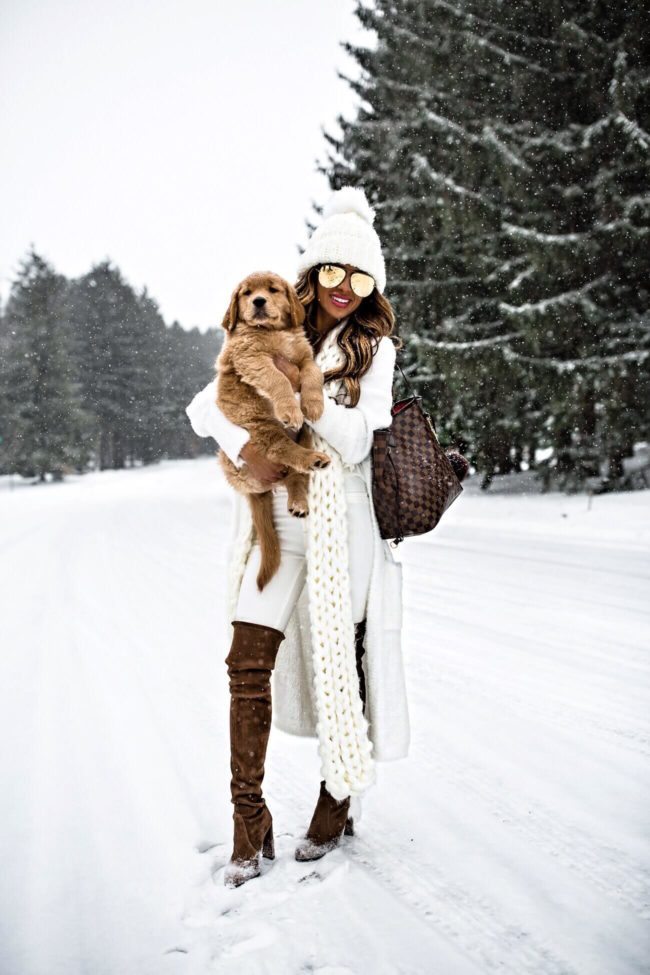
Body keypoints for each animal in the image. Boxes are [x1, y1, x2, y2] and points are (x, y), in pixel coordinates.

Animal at [216, 270, 330, 592]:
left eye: (273, 289)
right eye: (246, 293)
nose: (258, 301)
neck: (273, 332)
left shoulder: (305, 356)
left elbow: (312, 375)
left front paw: (313, 405)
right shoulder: (252, 358)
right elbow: (278, 379)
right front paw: (291, 409)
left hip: (305, 435)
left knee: (294, 475)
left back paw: (300, 498)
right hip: (261, 427)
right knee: (283, 450)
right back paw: (309, 458)